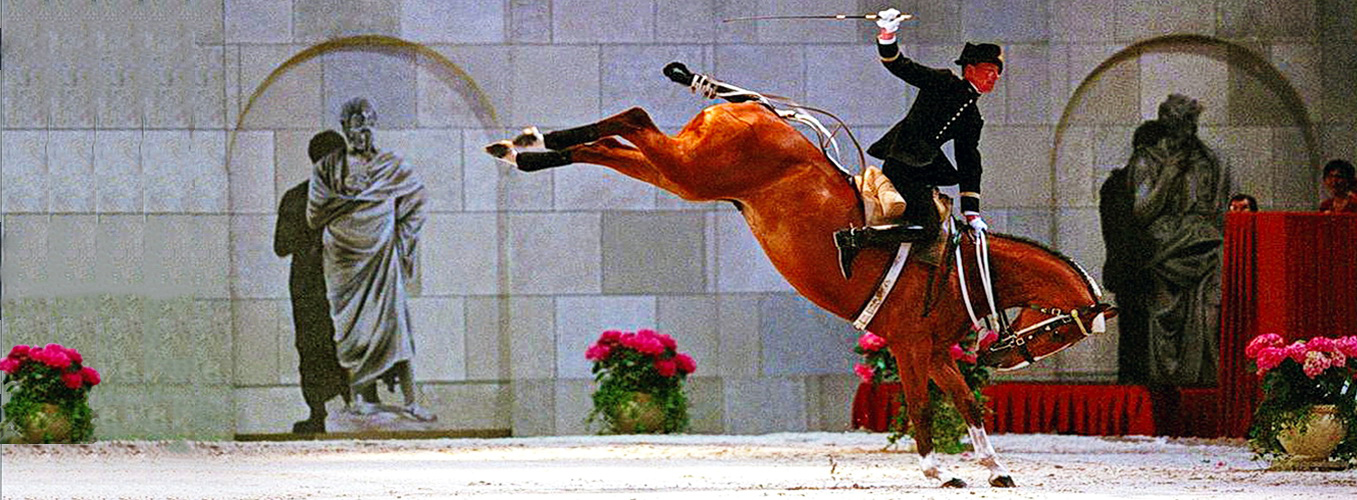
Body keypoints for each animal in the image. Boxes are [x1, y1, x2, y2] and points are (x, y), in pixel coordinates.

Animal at [488, 99, 1112, 486]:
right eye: (1063, 330)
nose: (1001, 357)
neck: (962, 268)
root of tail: (747, 107)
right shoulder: (910, 347)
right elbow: (921, 409)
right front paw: (940, 471)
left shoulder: (935, 353)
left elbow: (968, 405)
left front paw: (995, 467)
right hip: (691, 170)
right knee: (635, 120)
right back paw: (531, 143)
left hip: (680, 175)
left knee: (616, 145)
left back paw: (530, 150)